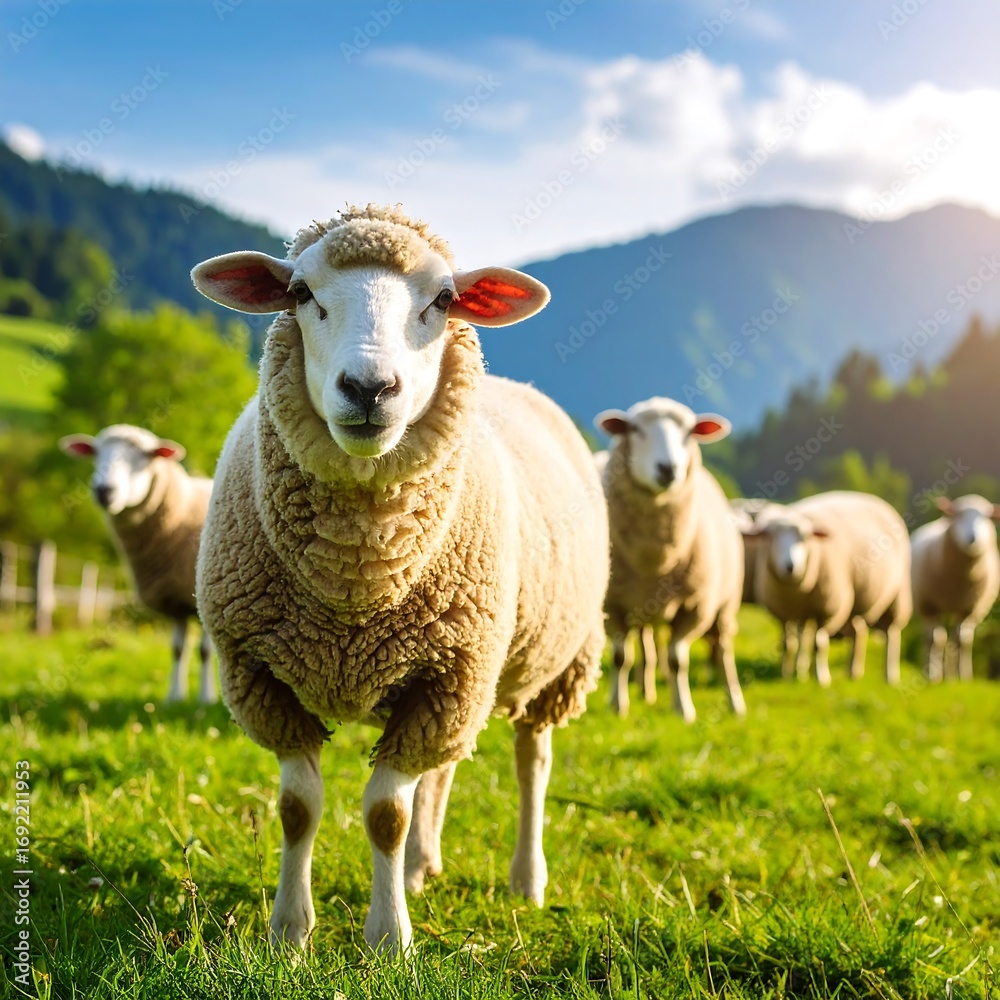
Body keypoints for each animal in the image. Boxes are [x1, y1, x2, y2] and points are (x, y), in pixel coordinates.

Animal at [59, 424, 216, 703]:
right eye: (96, 452)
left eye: (145, 455)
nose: (104, 491)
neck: (181, 515)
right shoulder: (174, 600)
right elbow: (178, 649)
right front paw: (174, 698)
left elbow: (205, 651)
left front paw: (206, 698)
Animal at [190, 204, 609, 954]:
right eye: (300, 293)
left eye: (442, 300)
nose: (368, 389)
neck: (355, 579)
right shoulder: (261, 678)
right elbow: (298, 808)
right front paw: (289, 932)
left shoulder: (450, 675)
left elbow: (386, 813)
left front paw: (388, 938)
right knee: (440, 773)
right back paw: (422, 866)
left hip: (550, 664)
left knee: (531, 762)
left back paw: (526, 880)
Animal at [595, 397, 746, 723]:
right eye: (635, 429)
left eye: (690, 432)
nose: (668, 468)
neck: (653, 559)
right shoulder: (612, 606)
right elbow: (620, 658)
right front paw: (618, 706)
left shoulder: (694, 606)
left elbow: (678, 661)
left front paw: (684, 710)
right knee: (647, 648)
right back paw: (646, 692)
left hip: (725, 604)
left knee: (723, 649)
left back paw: (735, 702)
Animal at [748, 491, 911, 685]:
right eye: (769, 536)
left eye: (805, 537)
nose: (790, 566)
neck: (795, 592)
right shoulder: (784, 613)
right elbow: (788, 644)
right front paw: (787, 675)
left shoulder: (826, 609)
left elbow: (818, 644)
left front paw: (821, 677)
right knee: (858, 632)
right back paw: (852, 672)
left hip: (897, 595)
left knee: (892, 634)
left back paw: (890, 675)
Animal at [910, 495, 1000, 681]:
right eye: (959, 515)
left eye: (986, 517)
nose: (972, 538)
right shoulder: (930, 606)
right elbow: (935, 639)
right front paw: (932, 675)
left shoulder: (969, 608)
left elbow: (962, 640)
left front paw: (963, 676)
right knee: (931, 638)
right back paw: (932, 672)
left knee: (952, 639)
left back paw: (950, 677)